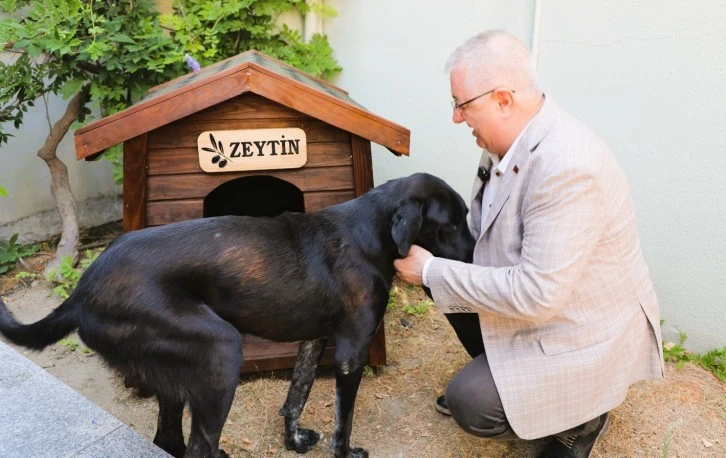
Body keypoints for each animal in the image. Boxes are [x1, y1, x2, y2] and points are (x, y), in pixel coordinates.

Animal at [0, 173, 474, 458]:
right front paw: (346, 452)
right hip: (221, 352)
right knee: (196, 447)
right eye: (451, 225)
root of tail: (81, 292)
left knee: (168, 438)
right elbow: (344, 421)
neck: (370, 230)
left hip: (174, 373)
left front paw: (294, 441)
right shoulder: (350, 353)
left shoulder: (314, 339)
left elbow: (296, 396)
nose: (475, 258)